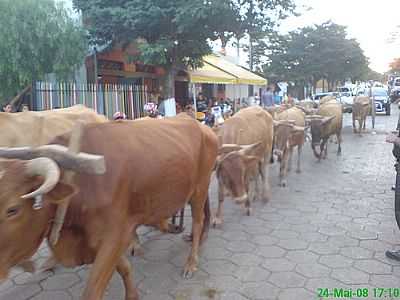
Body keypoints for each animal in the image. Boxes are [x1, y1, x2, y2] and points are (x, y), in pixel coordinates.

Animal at [0, 113, 217, 298]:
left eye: (13, 210)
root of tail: (201, 125)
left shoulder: (114, 236)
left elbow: (93, 290)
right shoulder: (108, 239)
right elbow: (124, 268)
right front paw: (132, 295)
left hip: (200, 188)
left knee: (198, 221)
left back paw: (191, 263)